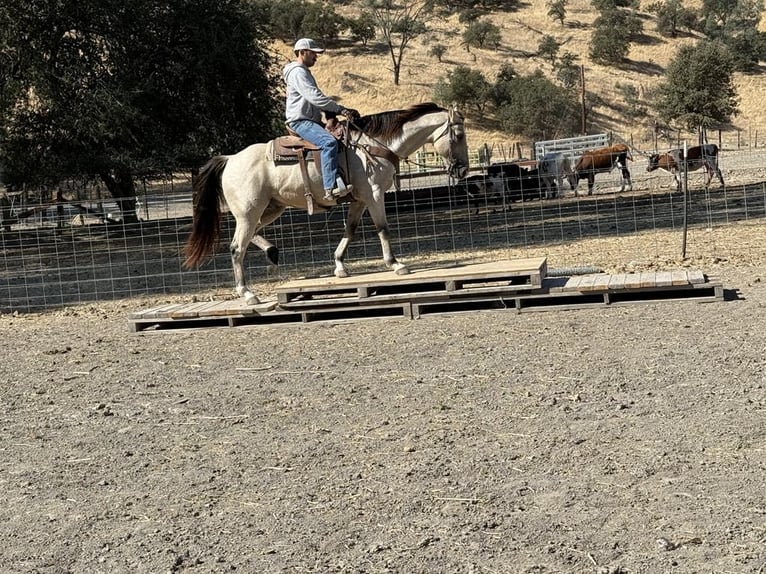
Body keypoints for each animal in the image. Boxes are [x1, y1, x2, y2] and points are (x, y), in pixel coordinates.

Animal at [184, 102, 472, 306]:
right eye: (458, 135)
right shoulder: (375, 195)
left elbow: (350, 230)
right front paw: (396, 264)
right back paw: (247, 293)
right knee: (236, 248)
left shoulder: (359, 200)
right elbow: (383, 229)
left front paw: (340, 266)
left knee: (251, 236)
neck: (374, 145)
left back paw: (271, 251)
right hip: (248, 212)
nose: (463, 170)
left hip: (270, 208)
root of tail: (230, 159)